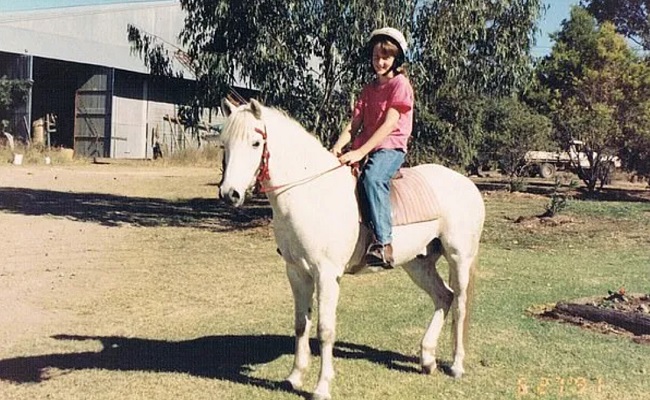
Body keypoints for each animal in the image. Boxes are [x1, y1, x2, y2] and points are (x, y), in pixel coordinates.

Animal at [220, 97, 484, 400]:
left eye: (255, 143)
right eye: (224, 144)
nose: (229, 194)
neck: (312, 193)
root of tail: (466, 184)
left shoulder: (326, 275)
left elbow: (324, 330)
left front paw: (322, 386)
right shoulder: (296, 272)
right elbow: (300, 324)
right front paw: (294, 377)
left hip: (459, 257)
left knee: (460, 304)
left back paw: (456, 366)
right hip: (418, 263)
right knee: (444, 297)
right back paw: (427, 360)